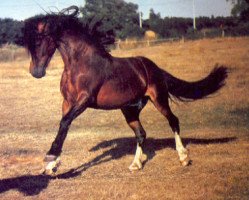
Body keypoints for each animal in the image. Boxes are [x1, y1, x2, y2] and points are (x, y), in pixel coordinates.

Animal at [23, 7, 228, 175]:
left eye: (39, 40)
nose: (36, 72)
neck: (80, 64)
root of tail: (154, 68)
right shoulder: (67, 102)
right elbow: (63, 126)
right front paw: (51, 165)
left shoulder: (84, 100)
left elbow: (64, 122)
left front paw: (50, 158)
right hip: (129, 109)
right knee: (141, 134)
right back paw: (136, 164)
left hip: (159, 99)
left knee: (173, 121)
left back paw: (183, 157)